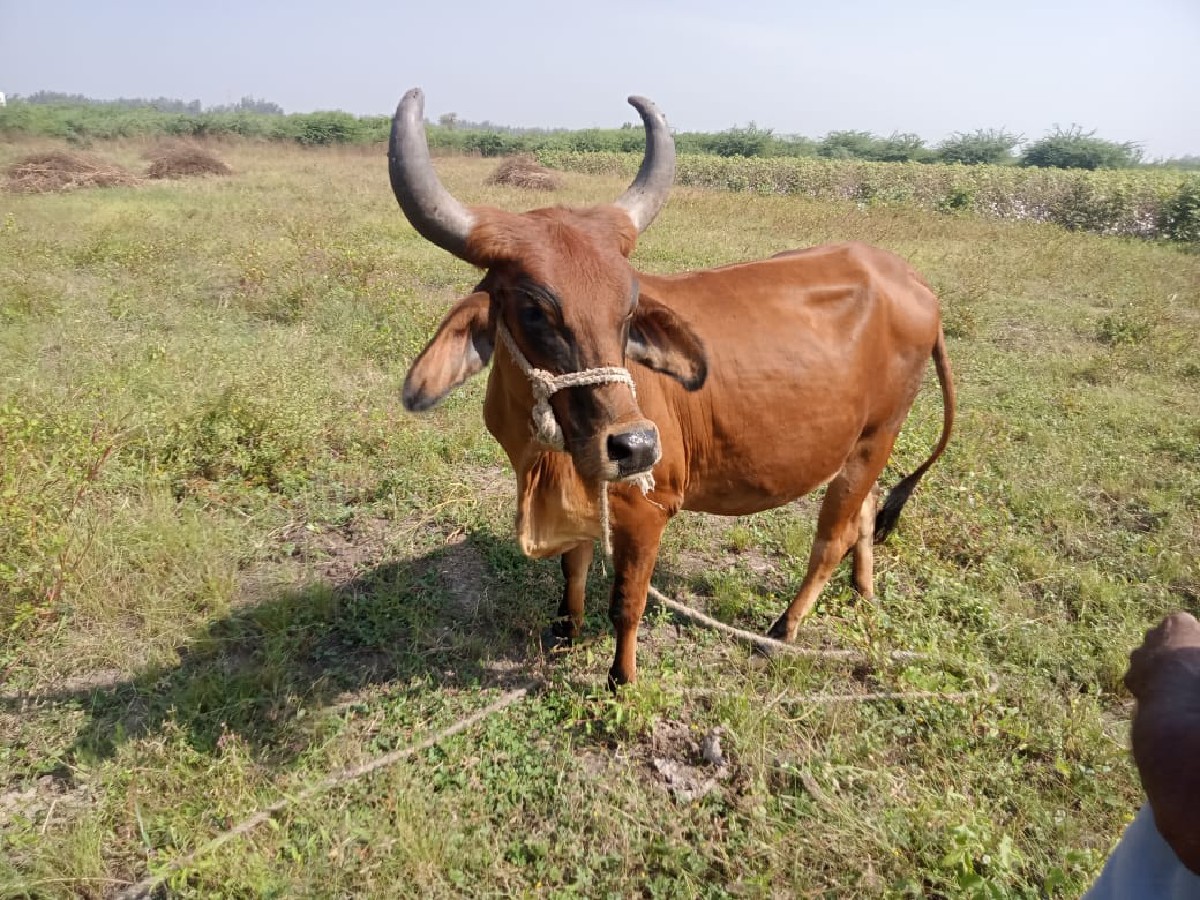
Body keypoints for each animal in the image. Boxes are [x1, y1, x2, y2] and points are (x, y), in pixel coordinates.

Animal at [391, 88, 955, 687]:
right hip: (862, 443)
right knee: (864, 515)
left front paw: (621, 680)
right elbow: (573, 567)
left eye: (629, 306)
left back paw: (784, 628)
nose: (635, 446)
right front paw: (565, 631)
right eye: (533, 309)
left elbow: (626, 603)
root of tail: (914, 282)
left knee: (831, 538)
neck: (546, 455)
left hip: (877, 435)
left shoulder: (647, 510)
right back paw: (863, 591)